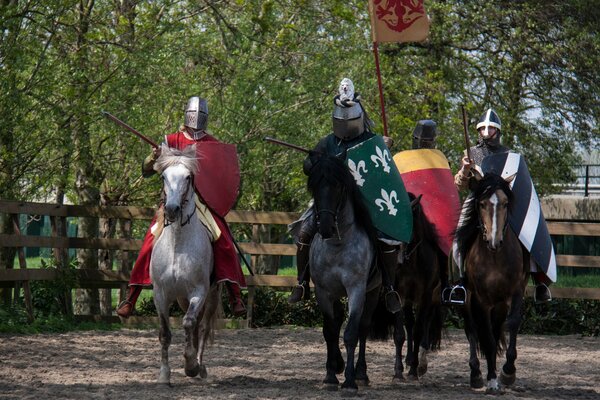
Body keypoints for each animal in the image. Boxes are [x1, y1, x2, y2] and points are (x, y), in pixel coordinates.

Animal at [149, 144, 220, 384]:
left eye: (188, 177)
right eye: (163, 176)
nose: (172, 209)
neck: (177, 245)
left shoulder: (199, 291)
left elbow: (189, 323)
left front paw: (190, 365)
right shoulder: (160, 294)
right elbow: (164, 332)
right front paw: (164, 374)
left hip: (211, 296)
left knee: (203, 326)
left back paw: (200, 367)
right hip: (181, 299)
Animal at [304, 155, 380, 392]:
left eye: (338, 186)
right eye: (314, 186)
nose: (326, 227)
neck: (338, 244)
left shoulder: (357, 289)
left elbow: (351, 333)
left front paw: (349, 380)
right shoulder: (323, 291)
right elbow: (330, 330)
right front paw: (331, 375)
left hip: (373, 292)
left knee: (363, 327)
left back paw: (361, 373)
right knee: (337, 320)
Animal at [454, 173, 528, 394]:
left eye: (505, 203)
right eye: (482, 204)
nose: (495, 242)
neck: (495, 257)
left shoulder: (516, 292)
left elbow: (512, 324)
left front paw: (508, 372)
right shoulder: (481, 301)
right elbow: (486, 336)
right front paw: (493, 380)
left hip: (500, 304)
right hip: (467, 301)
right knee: (471, 329)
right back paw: (476, 374)